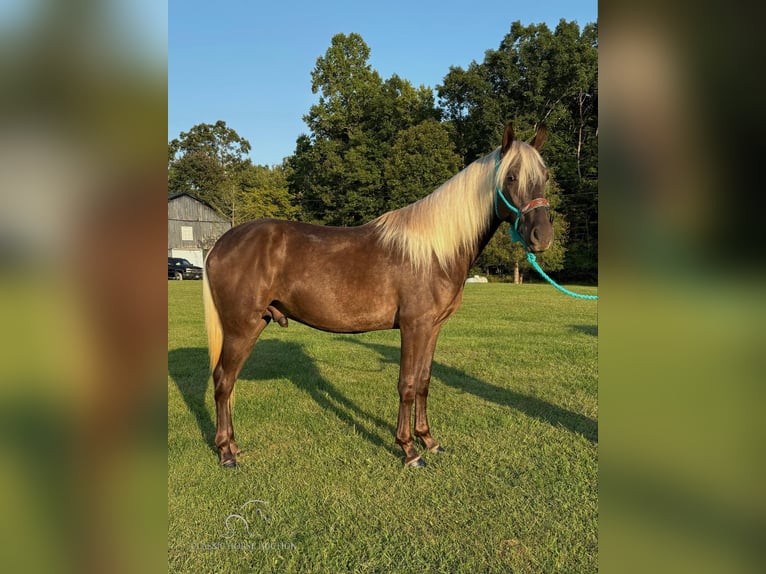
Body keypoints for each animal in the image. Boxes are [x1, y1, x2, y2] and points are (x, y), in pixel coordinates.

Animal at [202, 124, 552, 470]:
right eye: (511, 177)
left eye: (545, 176)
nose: (543, 236)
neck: (434, 251)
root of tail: (220, 245)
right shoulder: (413, 327)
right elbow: (407, 385)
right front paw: (409, 450)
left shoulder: (432, 328)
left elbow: (424, 382)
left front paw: (429, 441)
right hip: (240, 329)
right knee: (222, 381)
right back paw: (225, 453)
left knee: (228, 383)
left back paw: (233, 446)